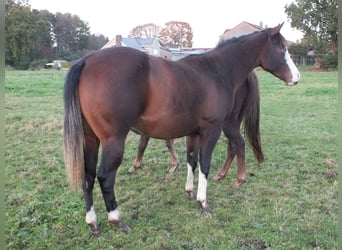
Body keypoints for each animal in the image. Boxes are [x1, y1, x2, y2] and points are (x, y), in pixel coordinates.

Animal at [130, 70, 262, 189]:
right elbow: (166, 143)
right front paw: (174, 165)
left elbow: (143, 145)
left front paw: (135, 166)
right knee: (232, 147)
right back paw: (221, 175)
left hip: (228, 123)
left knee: (238, 144)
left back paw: (239, 180)